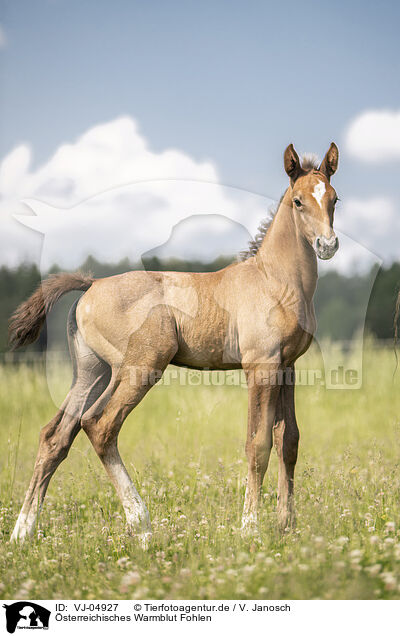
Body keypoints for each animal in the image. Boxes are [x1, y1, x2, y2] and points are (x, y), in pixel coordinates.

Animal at [9, 142, 340, 544]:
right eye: (298, 201)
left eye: (334, 199)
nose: (327, 245)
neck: (275, 280)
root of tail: (92, 285)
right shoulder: (260, 366)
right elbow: (258, 443)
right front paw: (249, 528)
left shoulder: (287, 366)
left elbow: (288, 440)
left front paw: (286, 525)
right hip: (139, 367)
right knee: (99, 425)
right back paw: (141, 524)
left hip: (93, 372)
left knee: (56, 435)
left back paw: (22, 532)